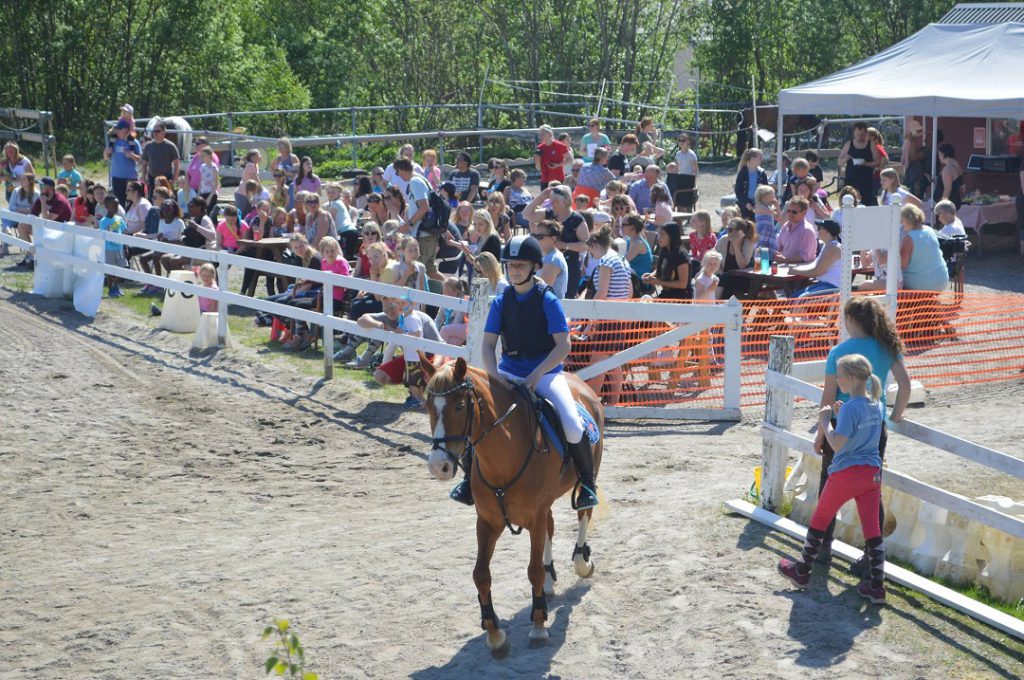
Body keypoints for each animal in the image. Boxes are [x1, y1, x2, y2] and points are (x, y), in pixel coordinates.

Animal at [421, 356, 604, 659]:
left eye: (460, 405)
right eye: (426, 405)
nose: (438, 466)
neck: (503, 458)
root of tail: (578, 381)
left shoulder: (535, 516)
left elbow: (533, 571)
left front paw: (539, 627)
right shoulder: (487, 522)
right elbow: (481, 575)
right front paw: (495, 635)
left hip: (587, 477)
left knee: (584, 514)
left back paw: (581, 562)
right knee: (551, 526)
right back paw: (550, 582)